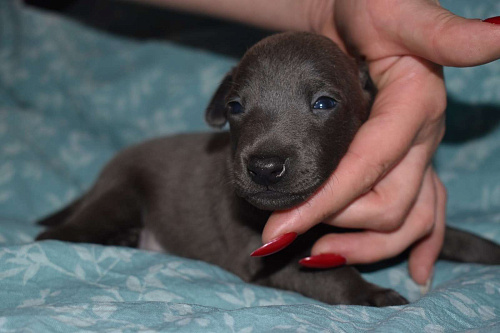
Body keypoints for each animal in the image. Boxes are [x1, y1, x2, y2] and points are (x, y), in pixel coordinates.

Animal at [36, 32, 500, 304]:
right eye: (235, 107)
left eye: (324, 103)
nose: (264, 166)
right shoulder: (266, 257)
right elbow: (332, 276)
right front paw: (376, 296)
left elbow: (455, 237)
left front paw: (487, 249)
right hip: (119, 195)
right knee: (57, 235)